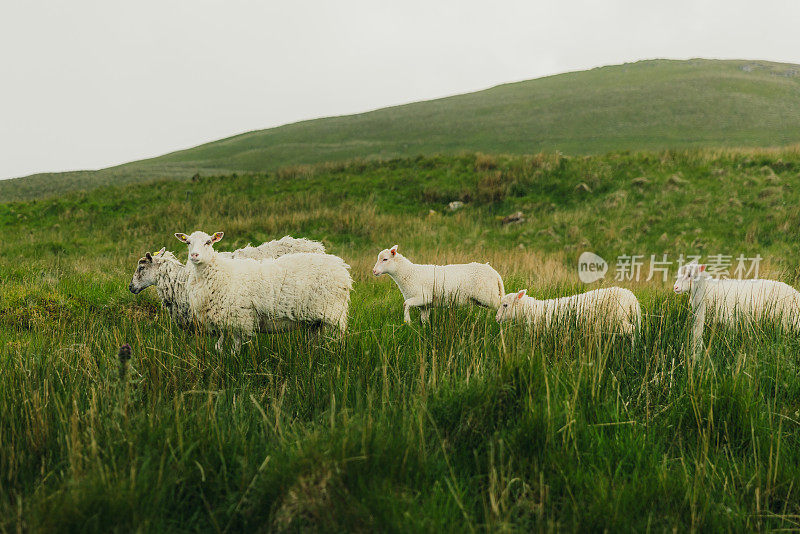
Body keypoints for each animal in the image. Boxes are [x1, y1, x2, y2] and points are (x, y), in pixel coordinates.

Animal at [175, 229, 350, 352]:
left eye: (208, 242)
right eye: (187, 242)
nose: (194, 255)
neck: (221, 272)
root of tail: (340, 266)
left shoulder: (241, 318)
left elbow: (235, 349)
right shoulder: (223, 319)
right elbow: (218, 347)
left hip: (334, 312)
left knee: (339, 338)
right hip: (314, 320)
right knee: (314, 340)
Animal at [370, 245, 506, 324]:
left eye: (385, 259)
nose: (374, 271)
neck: (409, 273)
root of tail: (494, 272)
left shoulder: (423, 296)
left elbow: (405, 304)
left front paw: (407, 321)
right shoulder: (424, 305)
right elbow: (424, 320)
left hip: (488, 295)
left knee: (502, 304)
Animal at [494, 286, 644, 338]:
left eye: (505, 305)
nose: (496, 318)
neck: (532, 310)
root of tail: (632, 299)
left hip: (618, 319)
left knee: (632, 330)